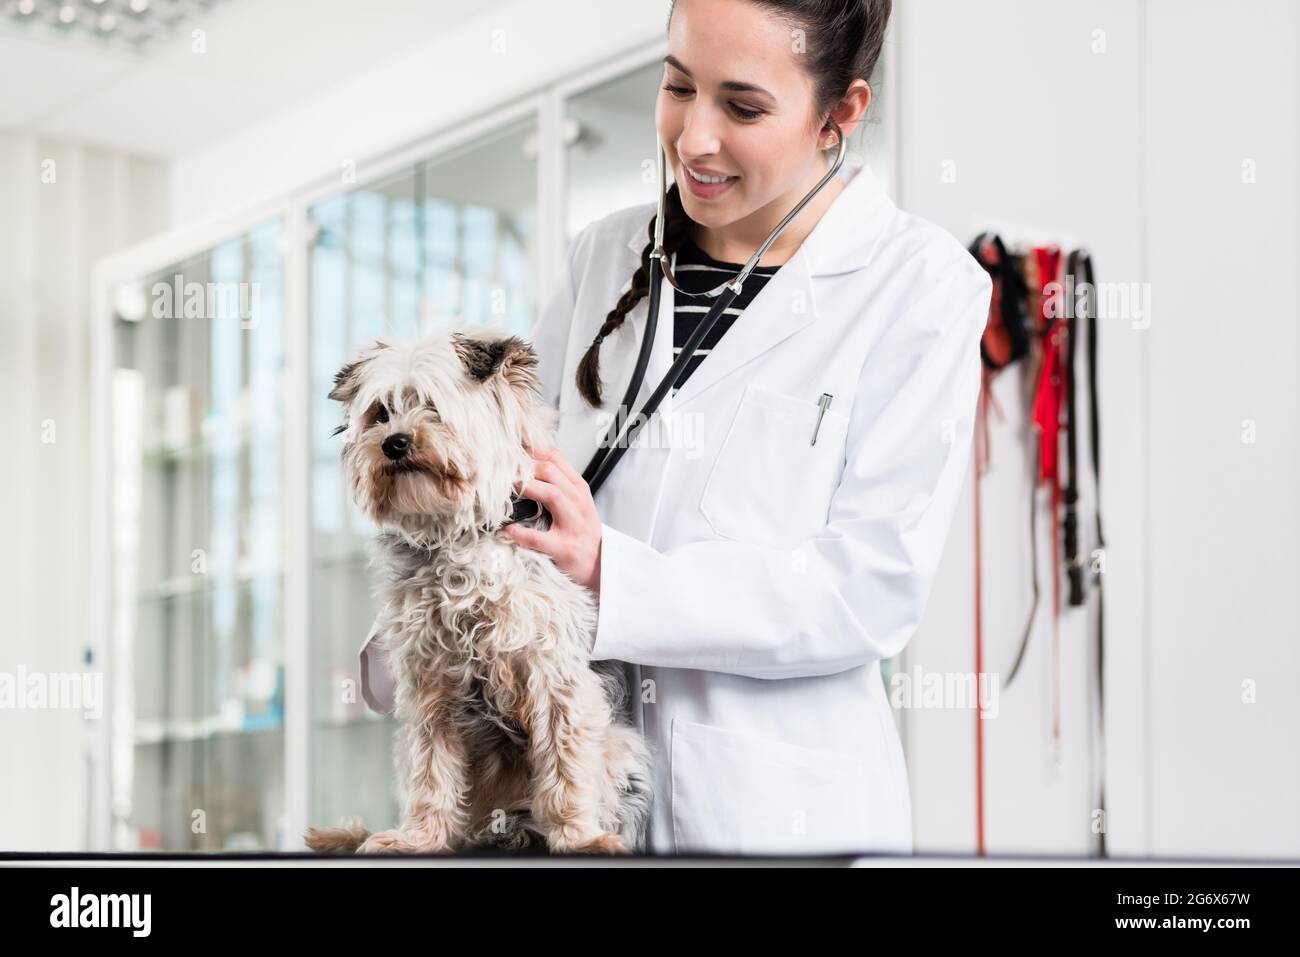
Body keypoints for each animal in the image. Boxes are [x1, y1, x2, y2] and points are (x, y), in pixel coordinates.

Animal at [304, 327, 650, 852]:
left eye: (433, 406)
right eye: (380, 413)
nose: (394, 443)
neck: (459, 536)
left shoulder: (555, 674)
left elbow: (566, 761)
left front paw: (579, 837)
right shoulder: (427, 683)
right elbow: (429, 767)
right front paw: (418, 836)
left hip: (621, 744)